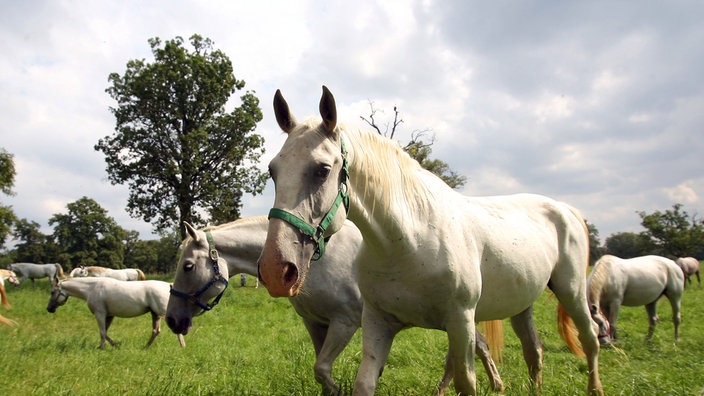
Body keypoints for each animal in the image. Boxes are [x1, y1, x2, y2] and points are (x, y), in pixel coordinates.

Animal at [46, 276, 184, 348]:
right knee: (156, 331)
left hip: (163, 313)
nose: (49, 309)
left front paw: (106, 347)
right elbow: (104, 332)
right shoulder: (109, 316)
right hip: (155, 314)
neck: (92, 288)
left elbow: (103, 332)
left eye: (52, 292)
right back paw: (146, 347)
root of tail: (168, 285)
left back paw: (182, 346)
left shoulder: (100, 314)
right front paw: (108, 346)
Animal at [165, 218, 506, 394]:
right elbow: (321, 369)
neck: (314, 261)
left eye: (187, 267)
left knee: (472, 350)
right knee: (474, 348)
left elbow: (322, 368)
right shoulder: (316, 323)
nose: (171, 320)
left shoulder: (345, 322)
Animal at [256, 86, 604, 396]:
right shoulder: (378, 322)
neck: (409, 242)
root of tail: (566, 209)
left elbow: (466, 382)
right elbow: (364, 383)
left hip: (572, 291)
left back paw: (595, 388)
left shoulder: (461, 322)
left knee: (589, 339)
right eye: (273, 170)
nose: (276, 270)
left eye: (323, 169)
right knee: (534, 350)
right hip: (522, 305)